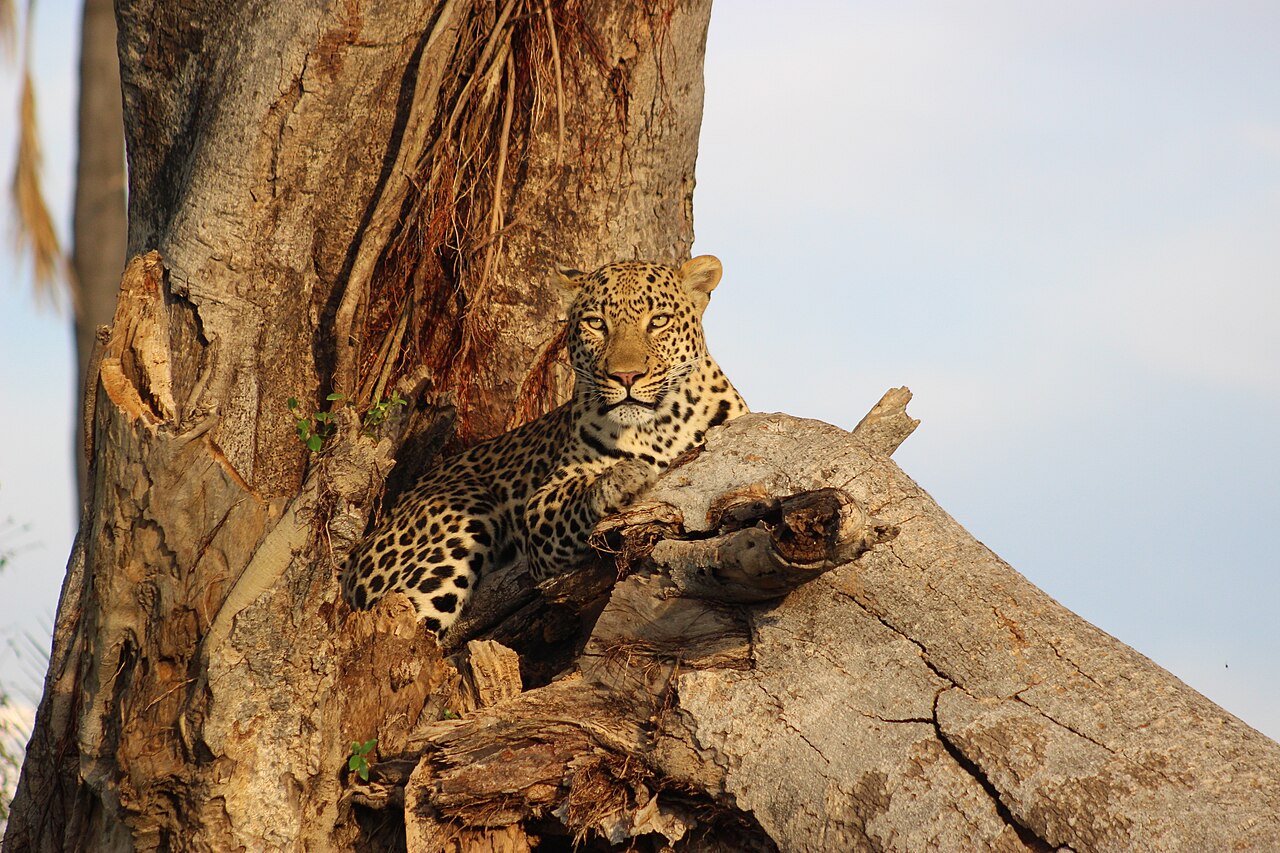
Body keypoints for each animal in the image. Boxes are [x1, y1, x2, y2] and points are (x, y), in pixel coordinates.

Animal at [342, 255, 748, 633]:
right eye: (596, 323)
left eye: (659, 321)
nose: (626, 376)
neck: (659, 425)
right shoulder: (540, 510)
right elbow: (576, 496)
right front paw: (621, 479)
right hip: (460, 515)